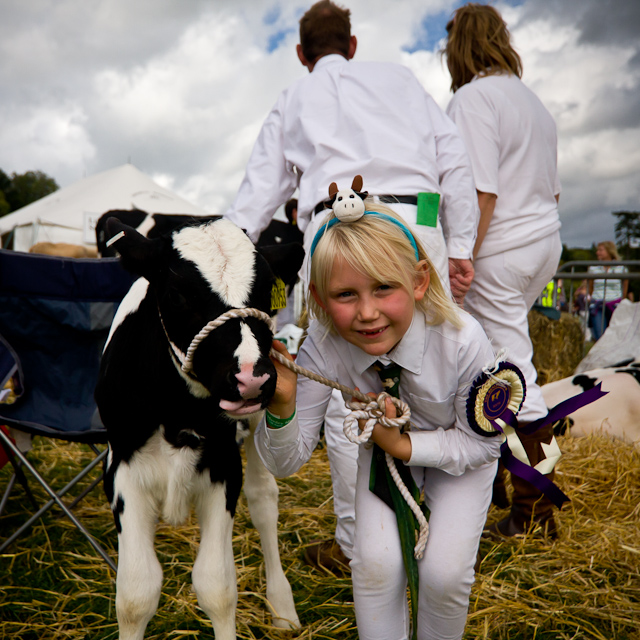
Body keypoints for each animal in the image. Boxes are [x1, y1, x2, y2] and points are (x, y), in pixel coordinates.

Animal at [95, 218, 304, 636]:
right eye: (177, 295)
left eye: (266, 293)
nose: (251, 377)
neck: (178, 412)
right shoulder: (121, 469)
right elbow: (135, 594)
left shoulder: (224, 466)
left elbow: (216, 587)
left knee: (263, 500)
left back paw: (282, 606)